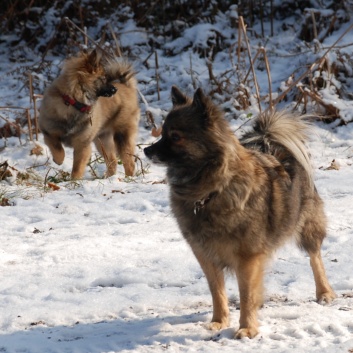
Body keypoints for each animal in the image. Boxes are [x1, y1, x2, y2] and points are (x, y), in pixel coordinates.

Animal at [39, 49, 140, 179]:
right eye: (103, 78)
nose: (114, 90)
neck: (73, 103)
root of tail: (126, 86)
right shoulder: (49, 133)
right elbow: (57, 148)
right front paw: (59, 160)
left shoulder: (82, 144)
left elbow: (77, 168)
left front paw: (74, 181)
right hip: (102, 140)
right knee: (112, 161)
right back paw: (109, 178)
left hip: (122, 135)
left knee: (129, 163)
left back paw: (128, 179)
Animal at [144, 86, 336, 338]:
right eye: (163, 133)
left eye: (175, 136)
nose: (146, 150)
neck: (211, 192)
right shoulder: (206, 255)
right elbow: (217, 291)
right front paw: (219, 321)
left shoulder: (247, 257)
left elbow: (246, 295)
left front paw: (246, 328)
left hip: (306, 226)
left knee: (315, 258)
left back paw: (324, 292)